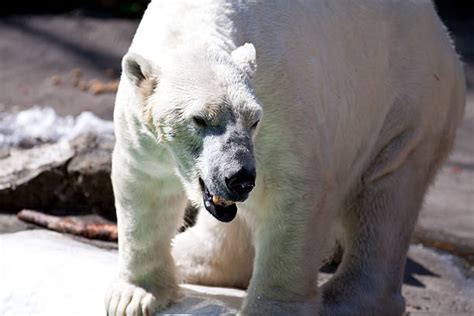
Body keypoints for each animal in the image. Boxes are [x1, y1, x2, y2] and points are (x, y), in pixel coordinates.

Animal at [105, 1, 464, 314]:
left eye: (254, 120)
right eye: (200, 119)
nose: (239, 178)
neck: (196, 22)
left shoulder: (280, 103)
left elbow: (294, 190)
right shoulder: (143, 126)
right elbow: (145, 185)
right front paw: (136, 296)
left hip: (404, 107)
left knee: (386, 197)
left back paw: (343, 302)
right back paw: (188, 255)